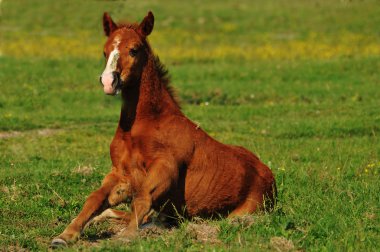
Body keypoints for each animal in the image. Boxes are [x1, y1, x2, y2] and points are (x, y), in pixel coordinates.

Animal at [51, 11, 276, 246]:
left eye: (134, 49)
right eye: (104, 51)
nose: (108, 82)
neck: (141, 127)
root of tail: (269, 175)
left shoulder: (167, 167)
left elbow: (142, 198)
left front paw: (127, 236)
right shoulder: (118, 171)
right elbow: (95, 198)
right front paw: (65, 235)